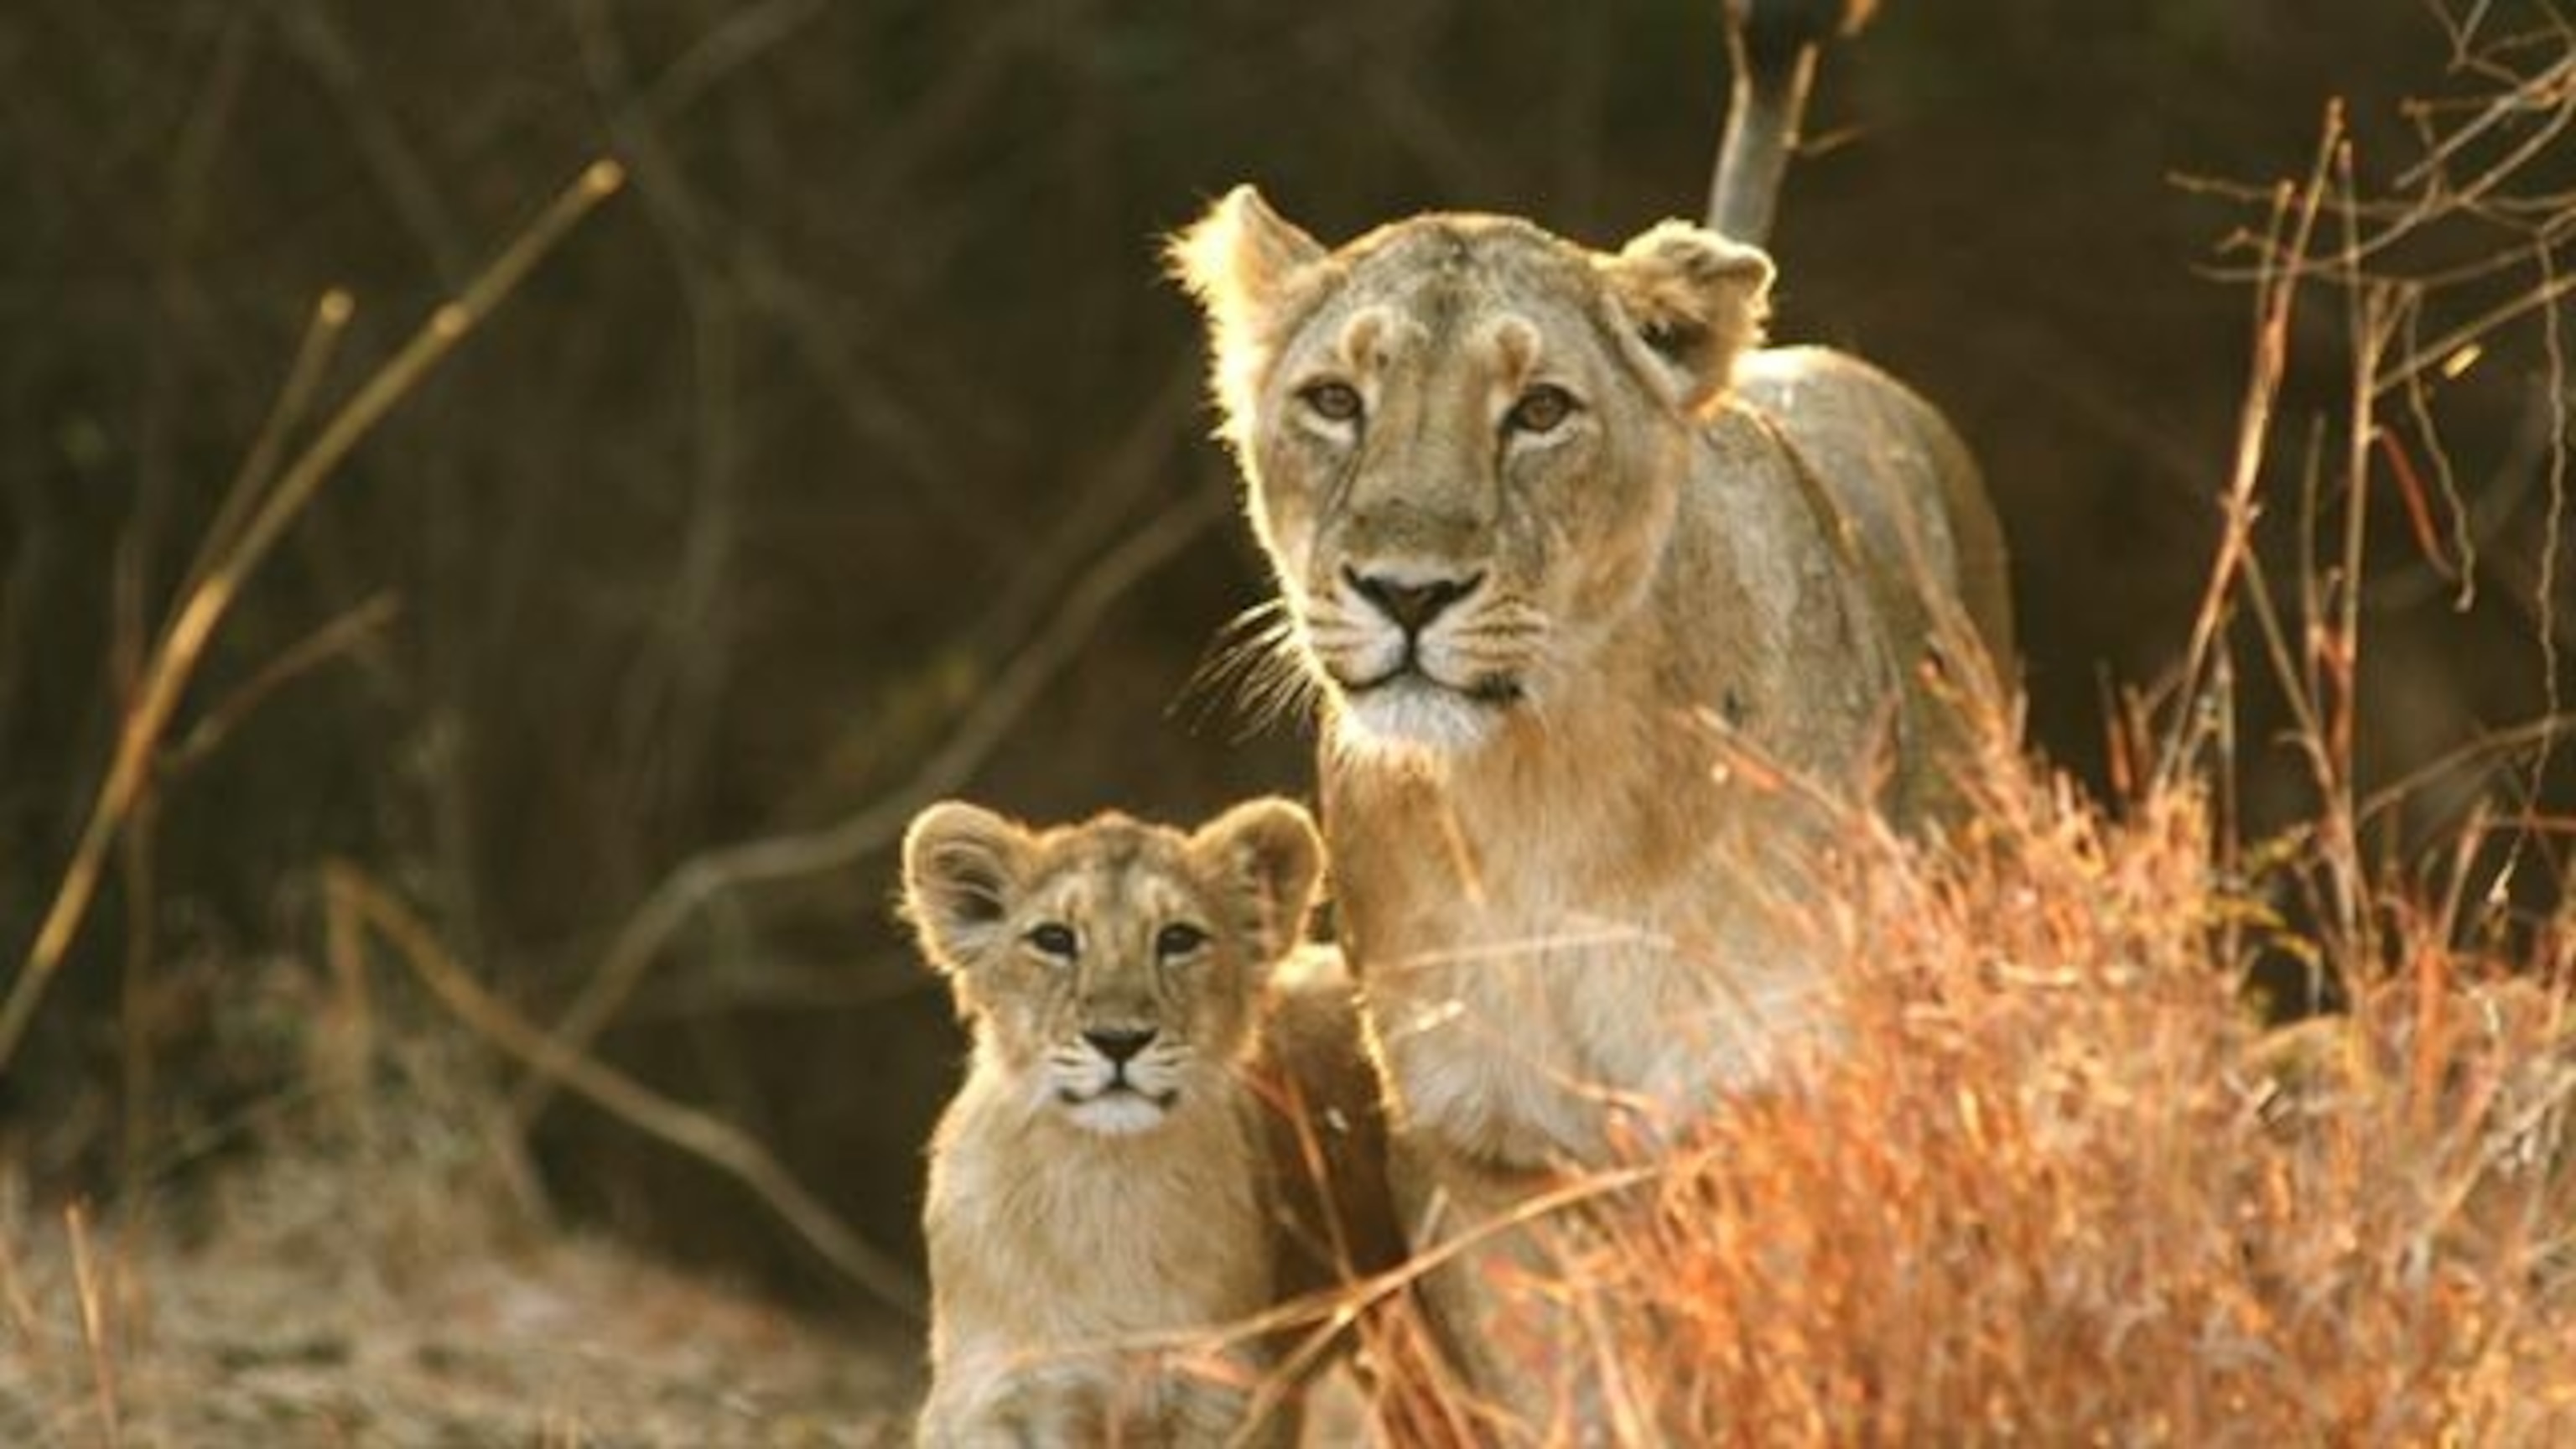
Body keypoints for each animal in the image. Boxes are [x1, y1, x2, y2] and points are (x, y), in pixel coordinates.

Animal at [902, 798, 1401, 1448]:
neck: (1106, 1180)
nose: (1119, 1040)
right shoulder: (994, 1395)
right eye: (1054, 939)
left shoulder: (1222, 1389)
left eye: (1179, 939)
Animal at [1169, 188, 2013, 1430]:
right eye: (1335, 400)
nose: (1407, 594)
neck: (1548, 795)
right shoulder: (1483, 1157)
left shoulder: (1769, 1108)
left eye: (1540, 411)